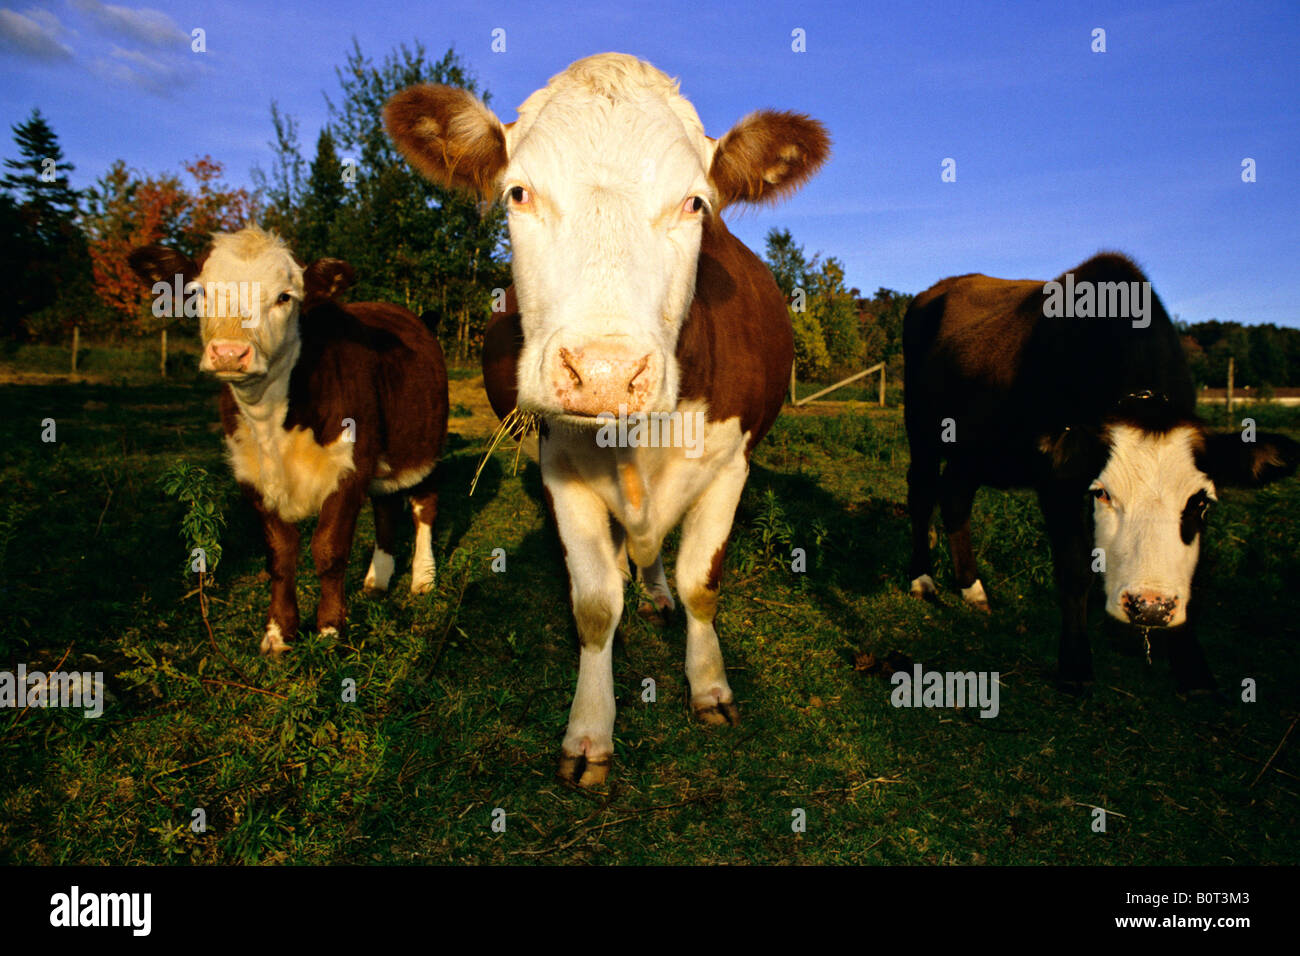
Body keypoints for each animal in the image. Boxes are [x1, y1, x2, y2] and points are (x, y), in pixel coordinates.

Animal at [128, 227, 449, 654]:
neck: (274, 422)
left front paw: (330, 630)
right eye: (199, 293)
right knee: (385, 507)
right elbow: (280, 555)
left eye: (284, 296)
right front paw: (279, 632)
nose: (229, 353)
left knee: (423, 507)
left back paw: (422, 578)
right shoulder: (251, 475)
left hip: (425, 446)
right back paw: (377, 579)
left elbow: (328, 549)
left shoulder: (350, 467)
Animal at [385, 53, 829, 785]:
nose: (604, 374)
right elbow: (593, 608)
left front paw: (709, 687)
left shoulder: (730, 467)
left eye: (695, 202)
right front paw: (589, 734)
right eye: (518, 194)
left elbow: (701, 584)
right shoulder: (562, 471)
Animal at [903, 252, 1299, 693]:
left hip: (970, 450)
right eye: (1103, 493)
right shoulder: (1059, 481)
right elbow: (1075, 567)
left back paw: (972, 589)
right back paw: (922, 579)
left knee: (955, 498)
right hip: (922, 430)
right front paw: (1075, 665)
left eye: (1200, 502)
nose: (1150, 607)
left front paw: (1192, 666)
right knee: (922, 495)